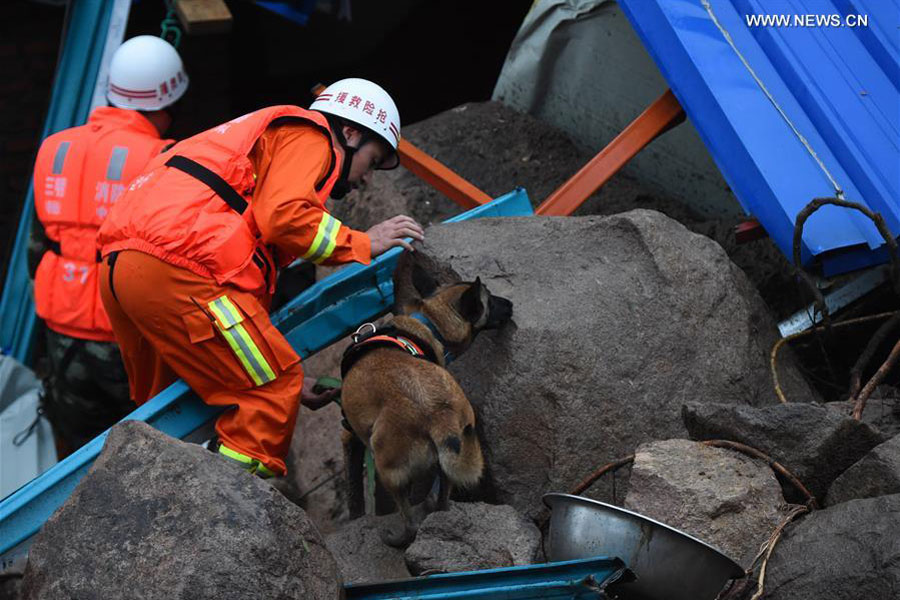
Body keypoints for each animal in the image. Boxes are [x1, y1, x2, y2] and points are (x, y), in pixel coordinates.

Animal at [340, 260, 512, 548]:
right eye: (490, 299)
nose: (510, 304)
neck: (428, 322)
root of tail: (437, 414)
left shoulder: (349, 434)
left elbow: (353, 488)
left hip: (388, 470)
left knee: (409, 521)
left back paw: (396, 539)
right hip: (451, 462)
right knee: (440, 500)